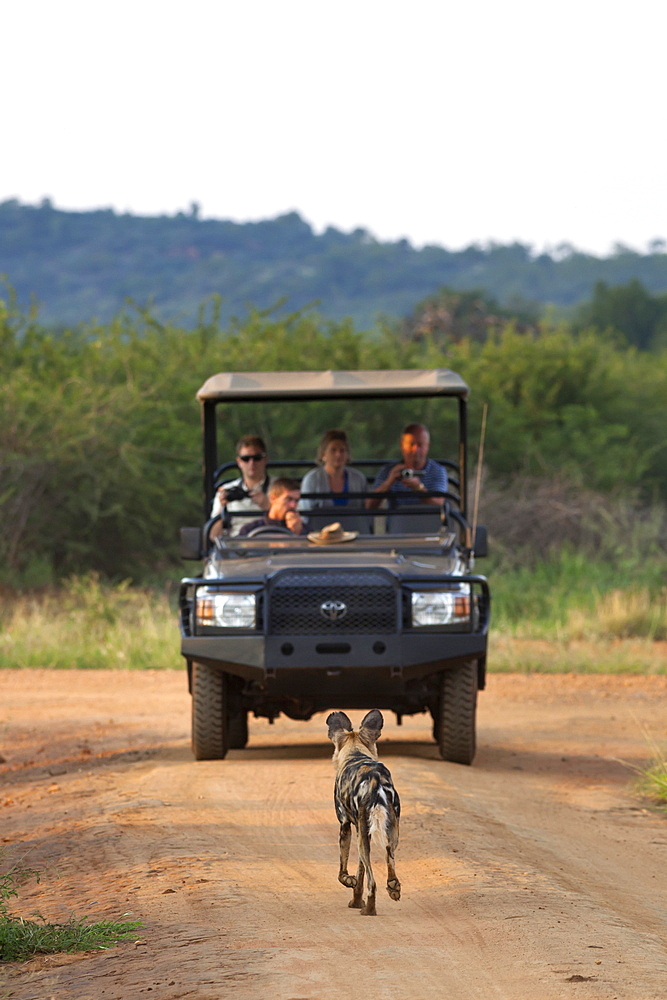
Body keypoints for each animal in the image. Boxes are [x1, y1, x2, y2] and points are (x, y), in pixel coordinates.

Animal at [326, 712, 400, 916]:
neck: (355, 752)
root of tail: (375, 780)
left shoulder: (345, 825)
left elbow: (342, 871)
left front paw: (349, 883)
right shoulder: (362, 831)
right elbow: (360, 873)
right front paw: (356, 900)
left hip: (362, 836)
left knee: (373, 883)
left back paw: (369, 910)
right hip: (390, 833)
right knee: (389, 861)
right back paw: (393, 888)